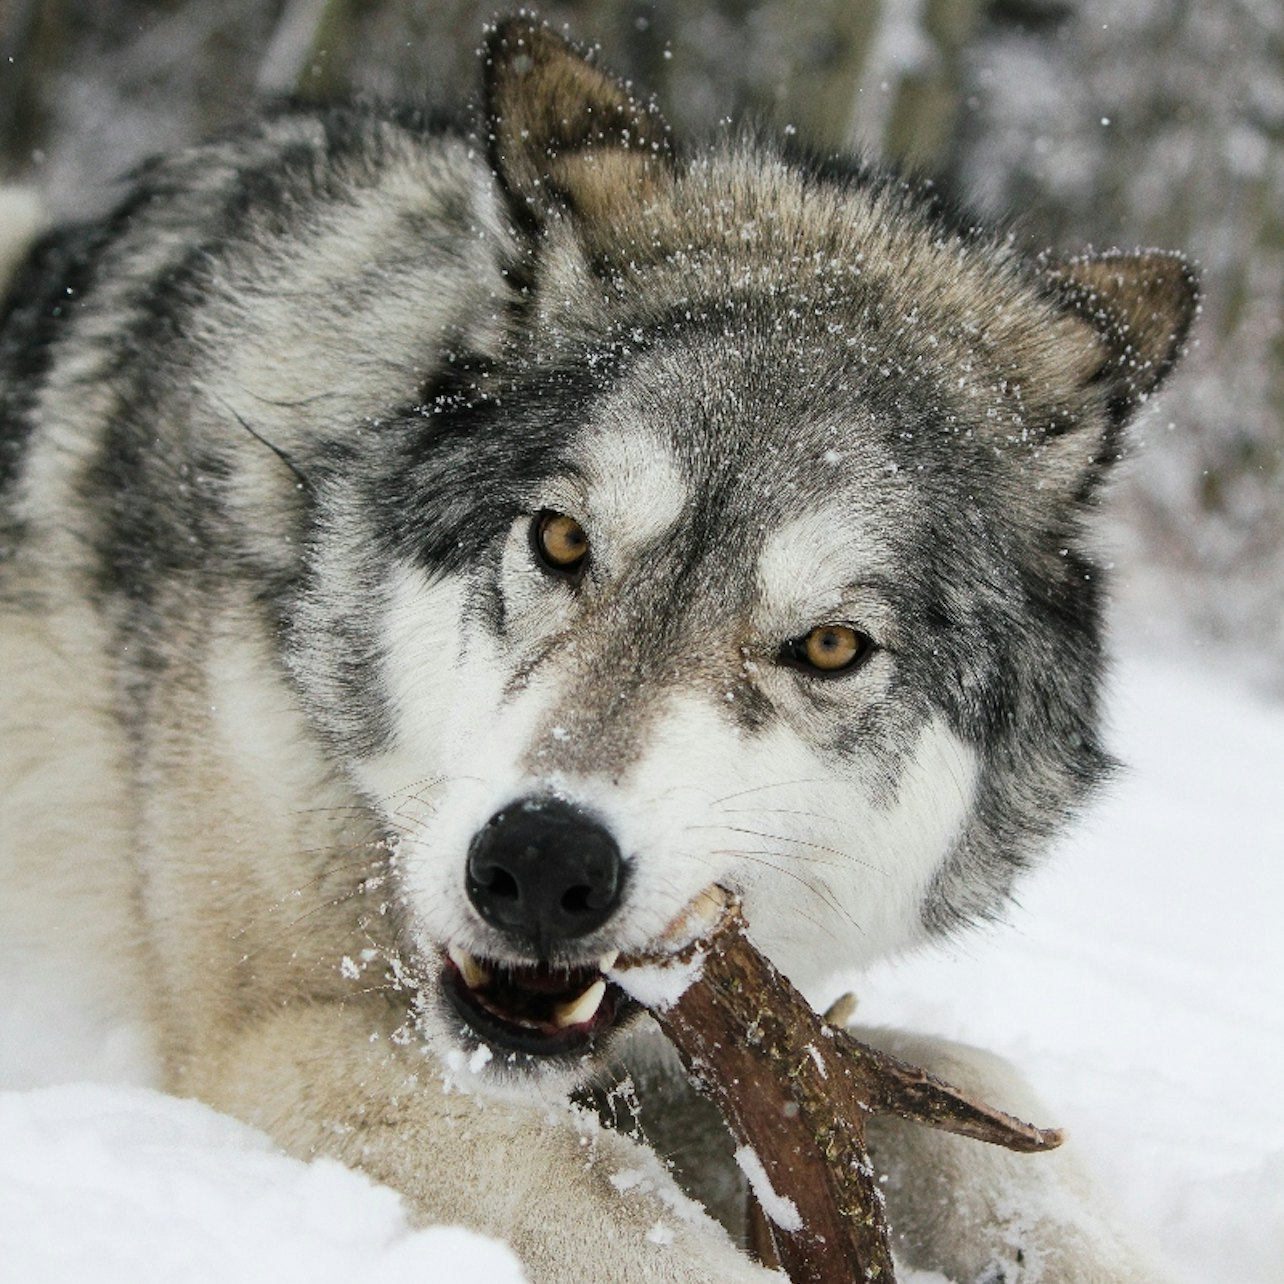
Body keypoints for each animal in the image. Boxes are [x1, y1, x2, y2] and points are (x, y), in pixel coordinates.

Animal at [5, 12, 1196, 1284]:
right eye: (564, 539)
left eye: (830, 646)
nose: (540, 863)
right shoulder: (287, 1037)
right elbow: (620, 1202)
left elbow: (982, 1103)